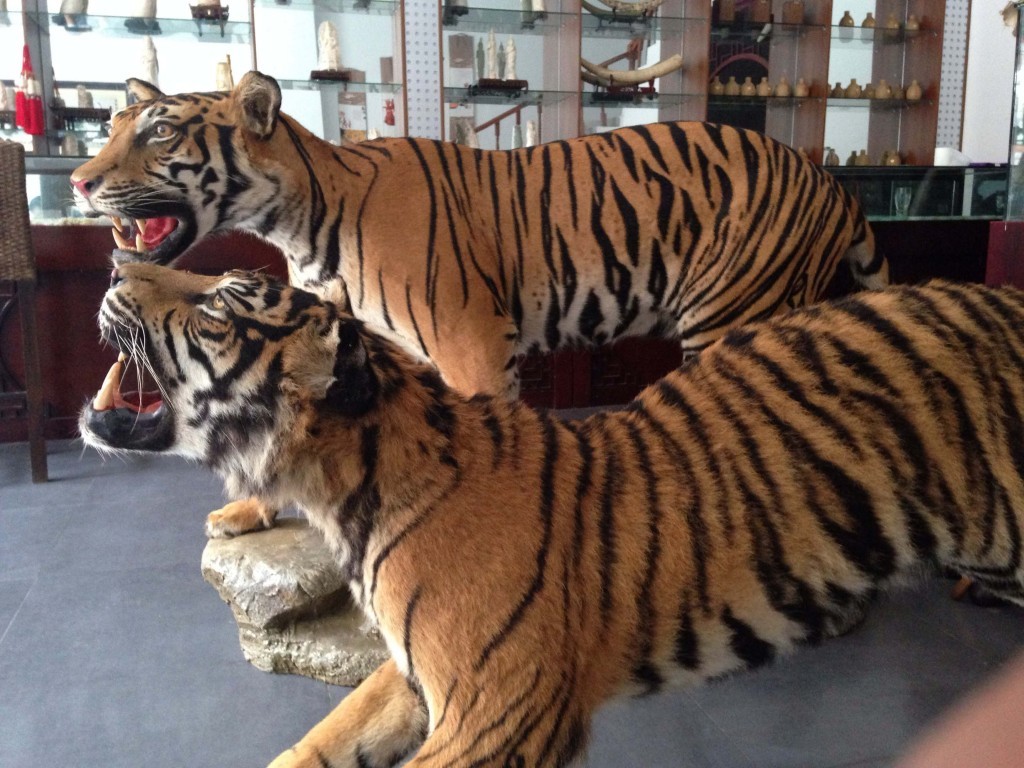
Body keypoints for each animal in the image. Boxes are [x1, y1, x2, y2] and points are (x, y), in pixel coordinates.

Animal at [74, 73, 888, 536]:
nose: (79, 182)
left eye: (161, 132)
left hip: (730, 312)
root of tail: (832, 183)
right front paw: (251, 511)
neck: (297, 220)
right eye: (111, 128)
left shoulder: (471, 343)